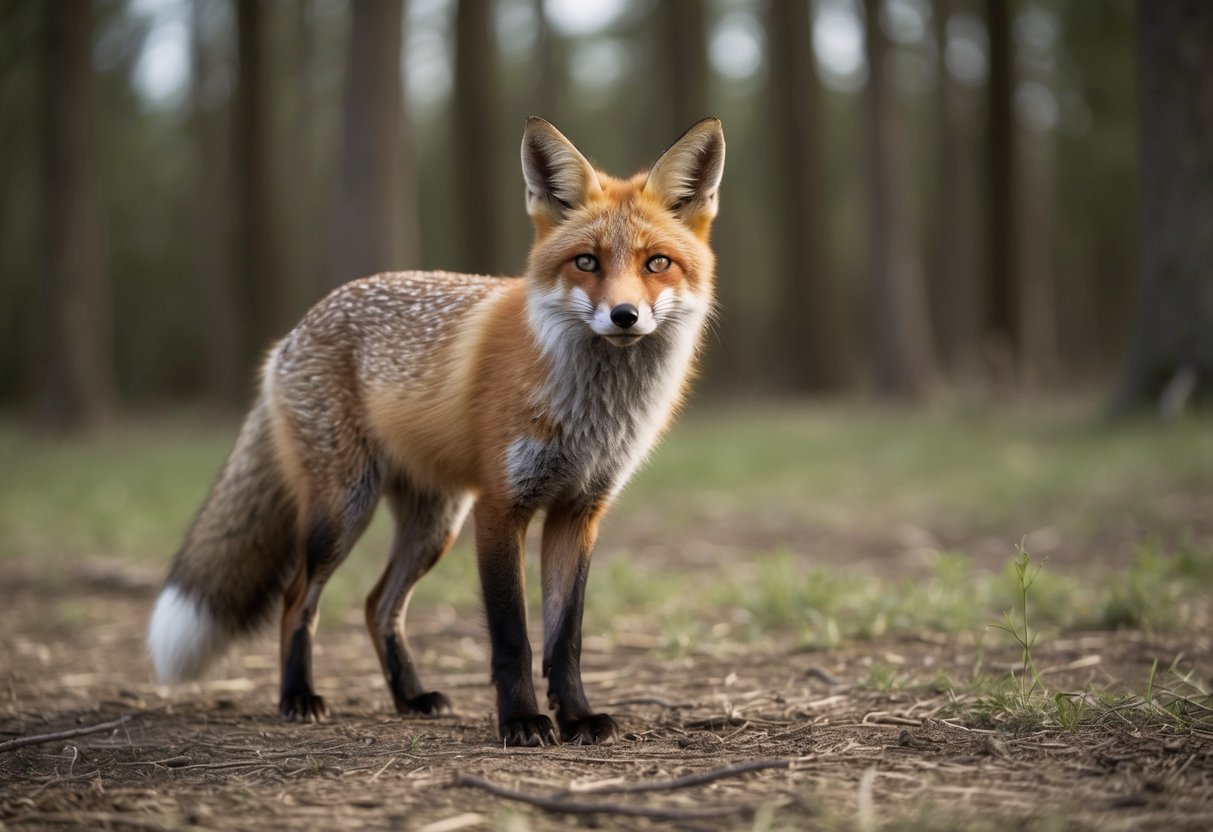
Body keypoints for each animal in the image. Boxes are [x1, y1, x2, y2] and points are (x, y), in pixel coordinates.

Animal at [147, 116, 725, 747]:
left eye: (657, 264)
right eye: (587, 263)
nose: (624, 316)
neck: (593, 412)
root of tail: (295, 331)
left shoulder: (579, 512)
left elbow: (565, 638)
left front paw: (576, 717)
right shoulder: (501, 506)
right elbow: (512, 638)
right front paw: (521, 721)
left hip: (433, 525)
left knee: (378, 605)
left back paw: (411, 697)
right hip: (342, 514)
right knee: (298, 600)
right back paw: (298, 696)